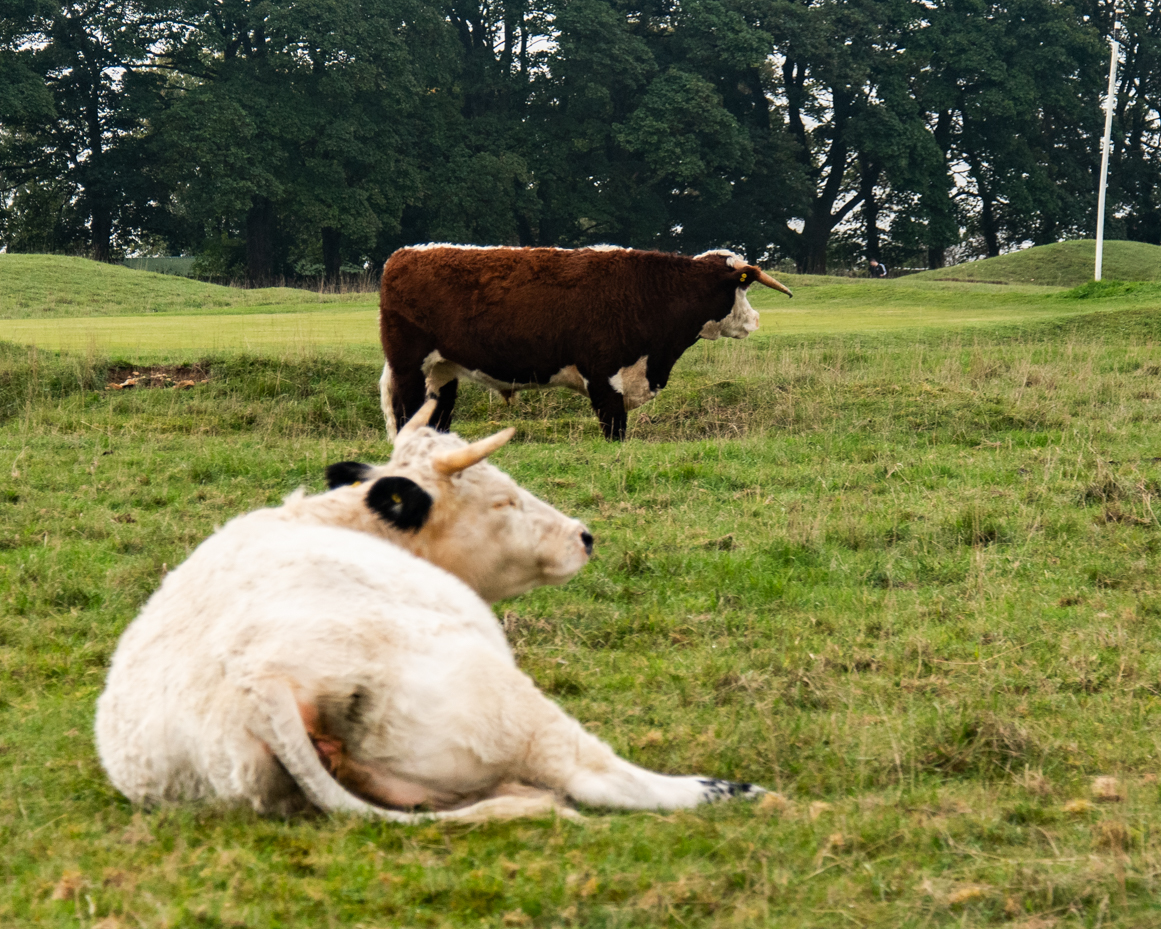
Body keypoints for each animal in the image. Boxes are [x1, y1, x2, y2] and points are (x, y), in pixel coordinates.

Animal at [95, 403, 763, 822]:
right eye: (502, 499)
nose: (584, 535)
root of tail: (259, 687)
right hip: (508, 704)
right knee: (597, 775)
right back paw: (735, 791)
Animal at [378, 245, 793, 440]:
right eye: (742, 286)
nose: (754, 320)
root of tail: (403, 254)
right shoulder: (604, 375)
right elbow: (615, 428)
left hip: (442, 371)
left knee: (437, 415)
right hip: (409, 366)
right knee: (406, 413)